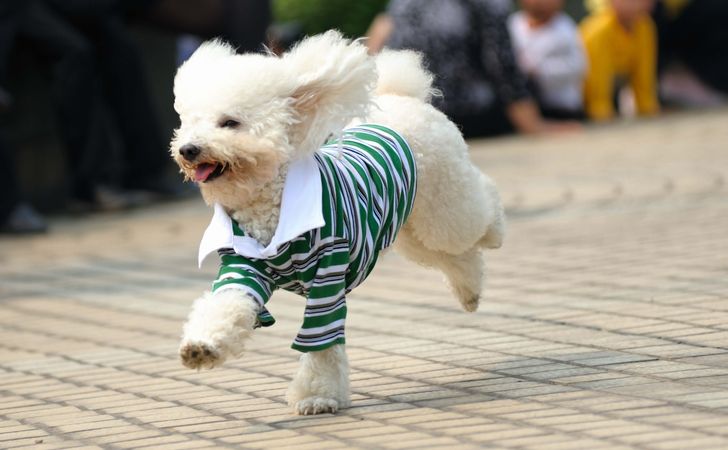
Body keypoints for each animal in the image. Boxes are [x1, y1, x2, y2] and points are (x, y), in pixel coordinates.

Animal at [171, 30, 504, 414]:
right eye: (188, 123)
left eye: (229, 123)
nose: (188, 150)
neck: (269, 203)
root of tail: (397, 96)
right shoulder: (244, 266)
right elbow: (226, 302)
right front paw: (201, 347)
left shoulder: (327, 273)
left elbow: (321, 339)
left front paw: (318, 394)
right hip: (409, 225)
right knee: (453, 255)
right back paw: (470, 293)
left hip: (444, 200)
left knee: (476, 214)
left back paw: (495, 231)